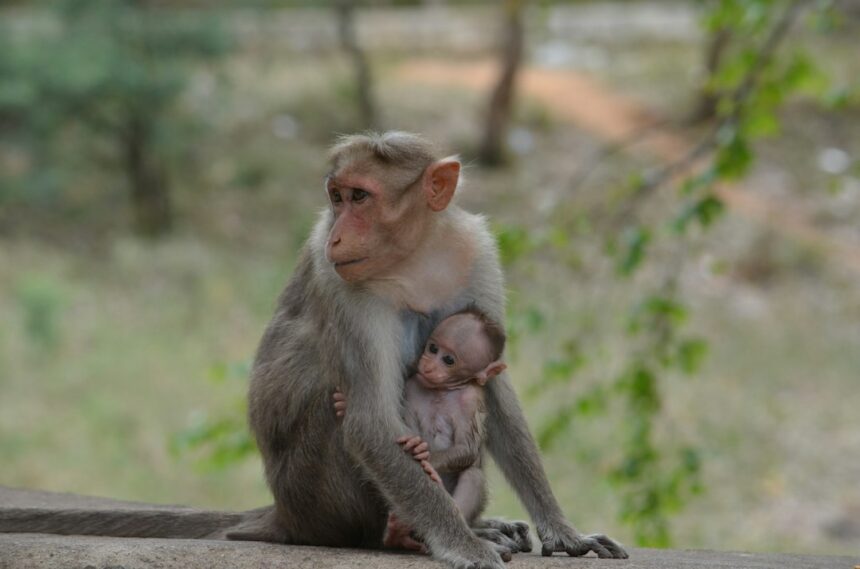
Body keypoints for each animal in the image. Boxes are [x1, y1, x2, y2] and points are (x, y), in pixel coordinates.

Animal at [332, 307, 510, 553]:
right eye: (433, 348)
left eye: (448, 360)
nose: (427, 363)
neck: (442, 390)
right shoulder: (413, 384)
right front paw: (343, 404)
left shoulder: (470, 399)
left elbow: (467, 448)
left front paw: (428, 457)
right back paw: (398, 533)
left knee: (473, 476)